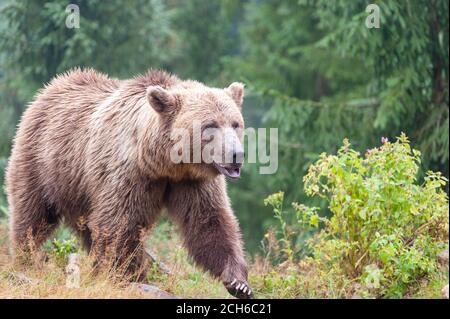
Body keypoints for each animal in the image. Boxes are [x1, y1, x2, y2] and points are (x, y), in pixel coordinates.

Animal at [6, 68, 253, 300]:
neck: (164, 163)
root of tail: (49, 88)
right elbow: (120, 223)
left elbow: (209, 221)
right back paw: (25, 259)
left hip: (80, 189)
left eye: (235, 123)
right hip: (43, 163)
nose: (236, 155)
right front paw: (126, 276)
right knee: (32, 216)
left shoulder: (191, 181)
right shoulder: (129, 174)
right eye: (209, 126)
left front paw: (238, 283)